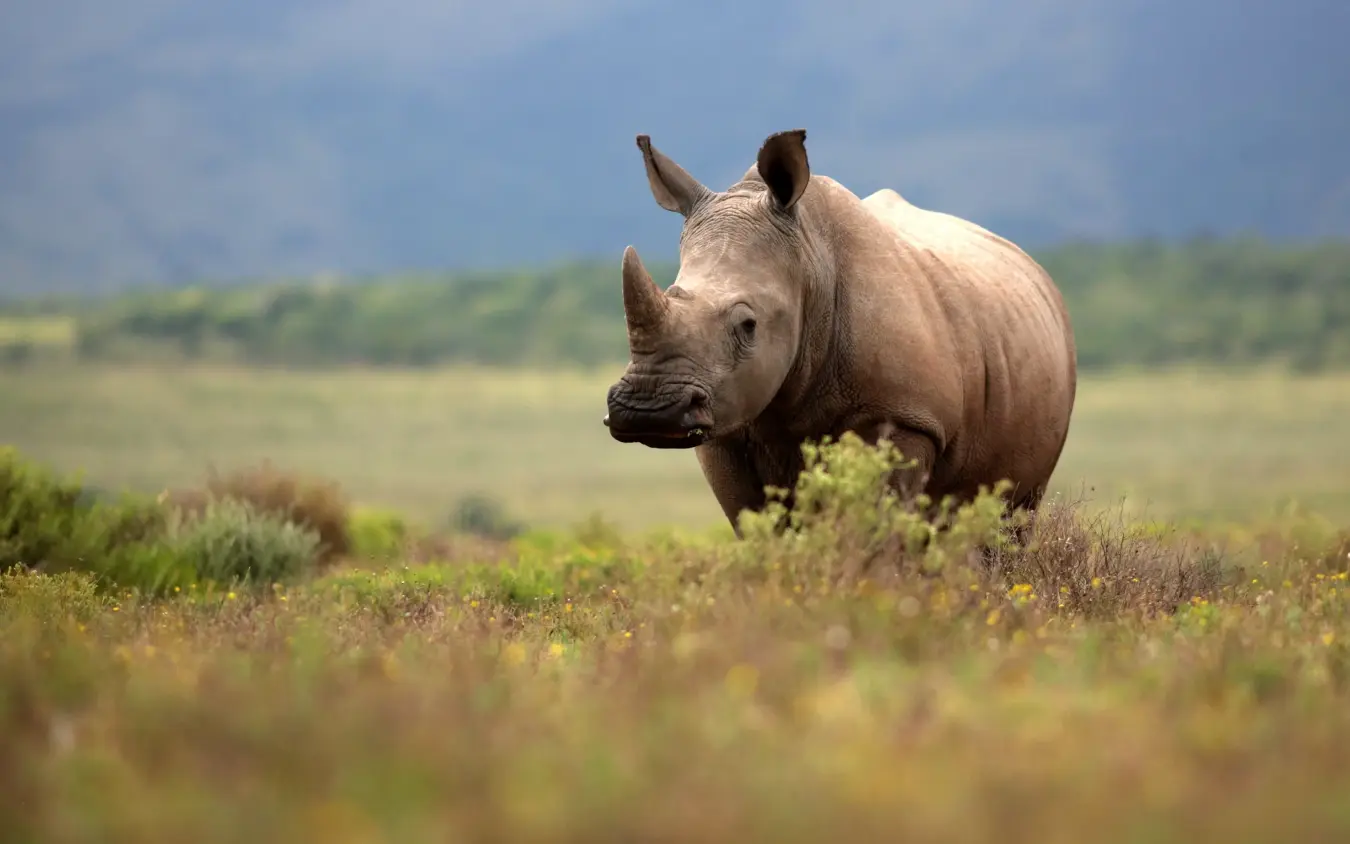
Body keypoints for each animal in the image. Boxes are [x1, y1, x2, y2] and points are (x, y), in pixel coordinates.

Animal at [603, 128, 1077, 537]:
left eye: (748, 325)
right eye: (671, 294)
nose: (648, 410)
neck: (810, 263)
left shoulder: (904, 416)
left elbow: (876, 528)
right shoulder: (726, 425)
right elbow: (759, 527)